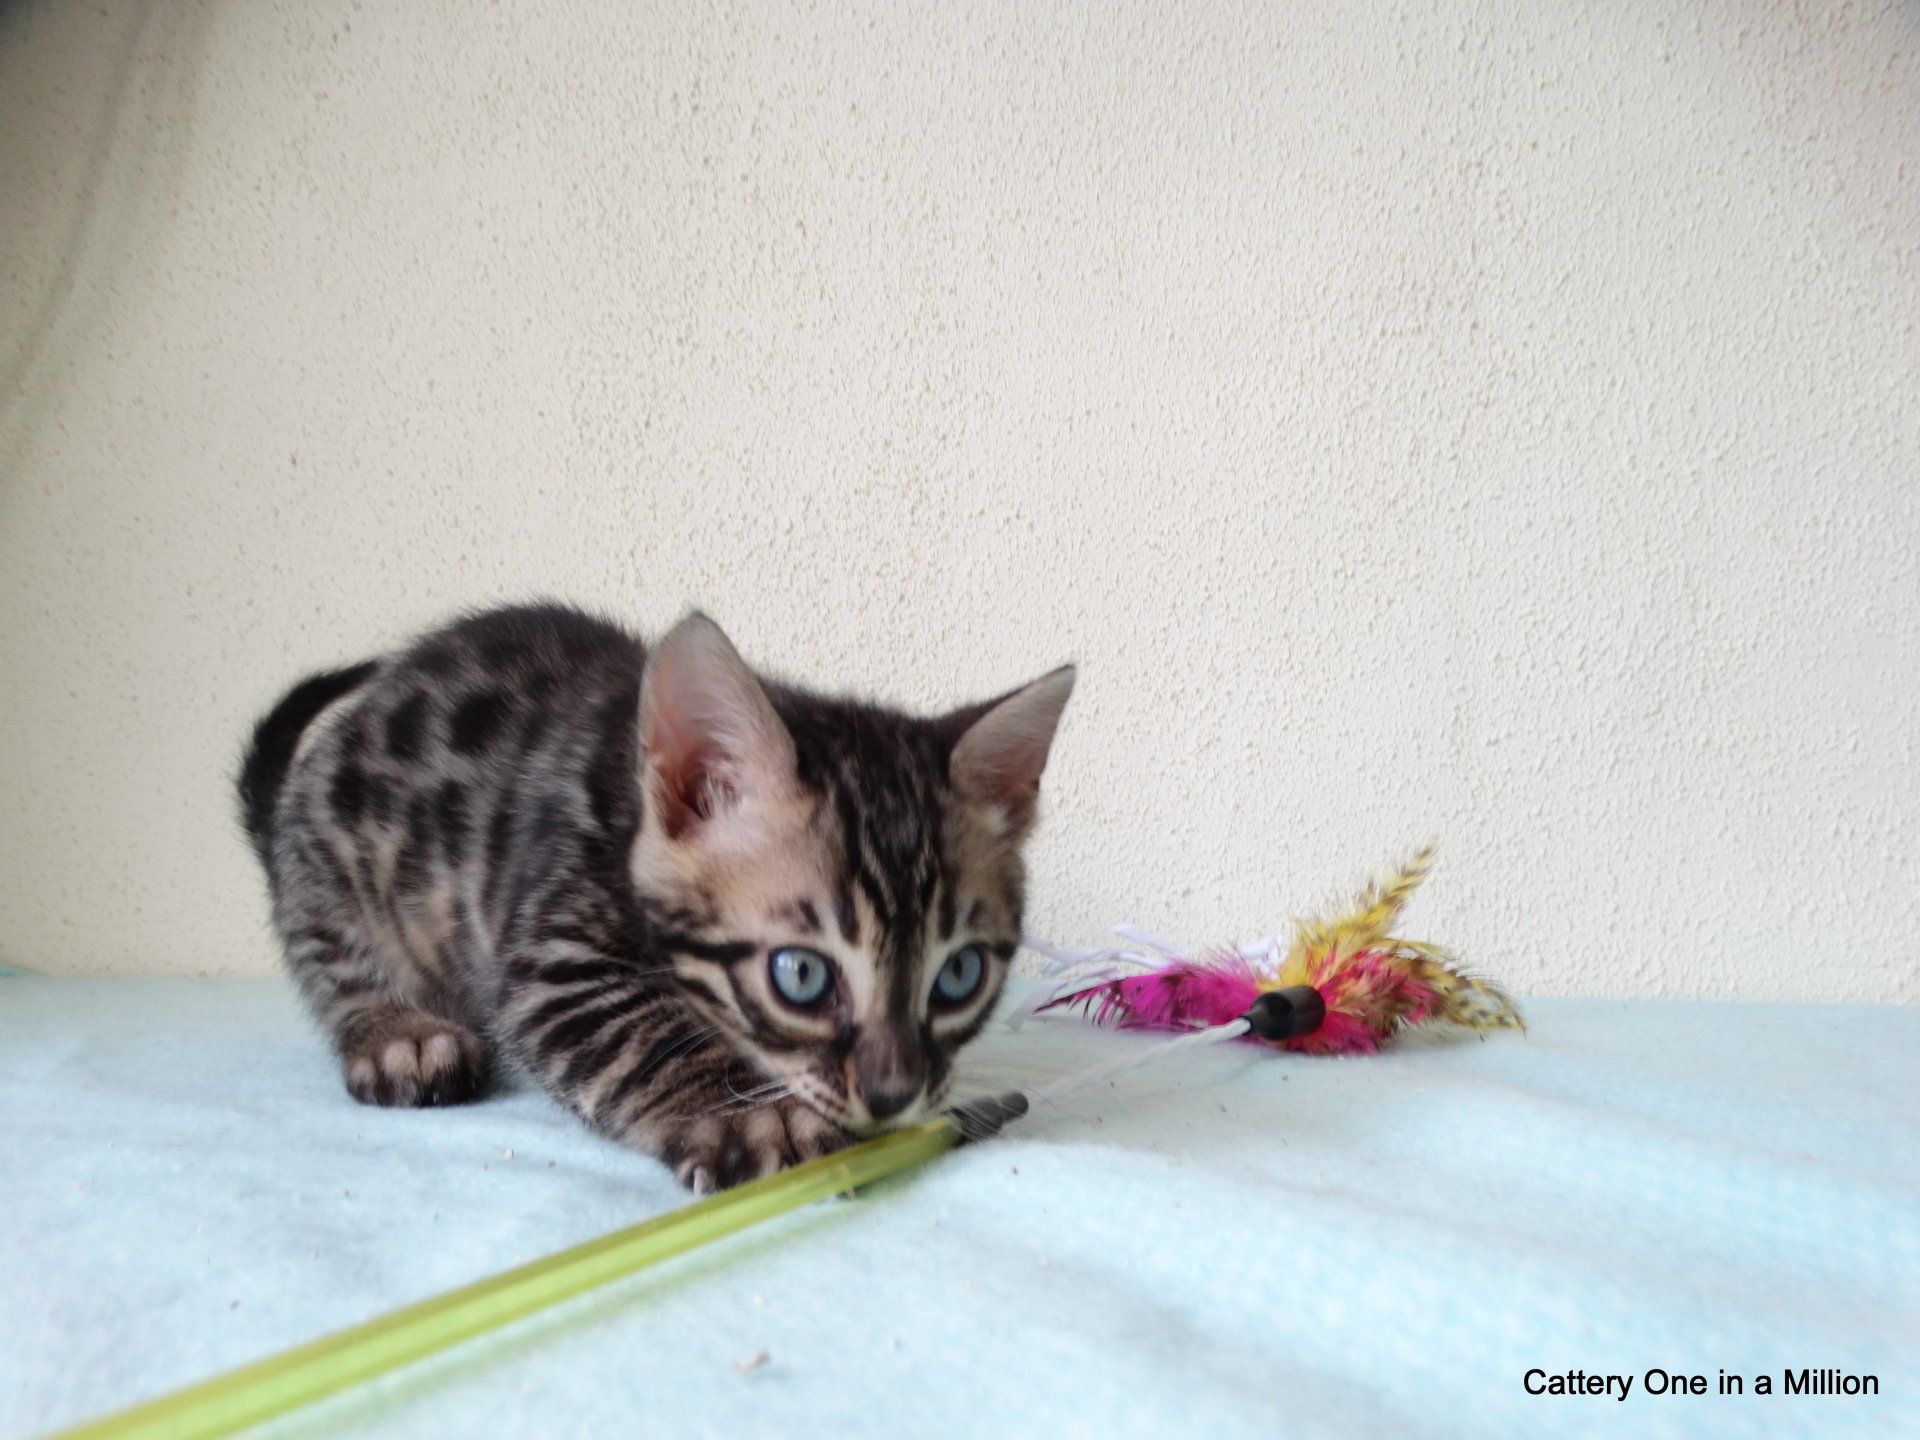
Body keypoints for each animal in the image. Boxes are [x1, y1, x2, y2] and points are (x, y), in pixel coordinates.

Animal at [238, 604, 1074, 1191]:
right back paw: (399, 1034)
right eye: (801, 977)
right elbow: (643, 1030)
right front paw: (763, 1117)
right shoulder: (555, 954)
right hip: (336, 863)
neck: (631, 808)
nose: (894, 1093)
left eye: (959, 976)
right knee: (335, 962)